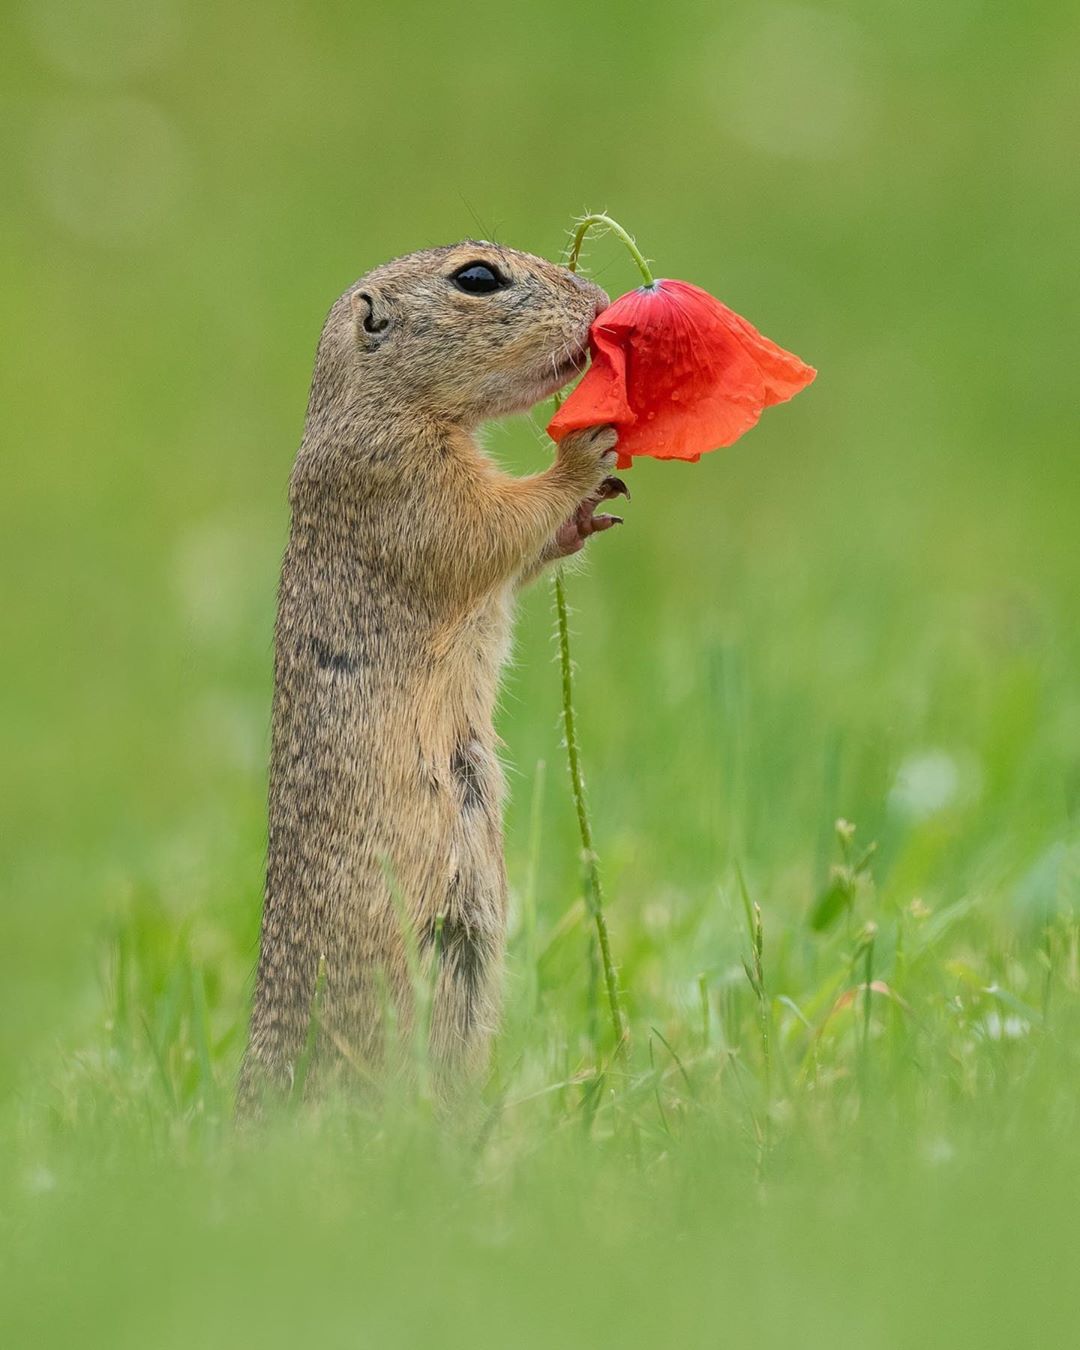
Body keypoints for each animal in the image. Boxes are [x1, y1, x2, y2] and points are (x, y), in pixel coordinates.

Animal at [238, 243, 623, 1107]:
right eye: (477, 277)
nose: (600, 299)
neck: (378, 406)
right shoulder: (405, 483)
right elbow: (491, 527)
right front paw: (586, 453)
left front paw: (589, 513)